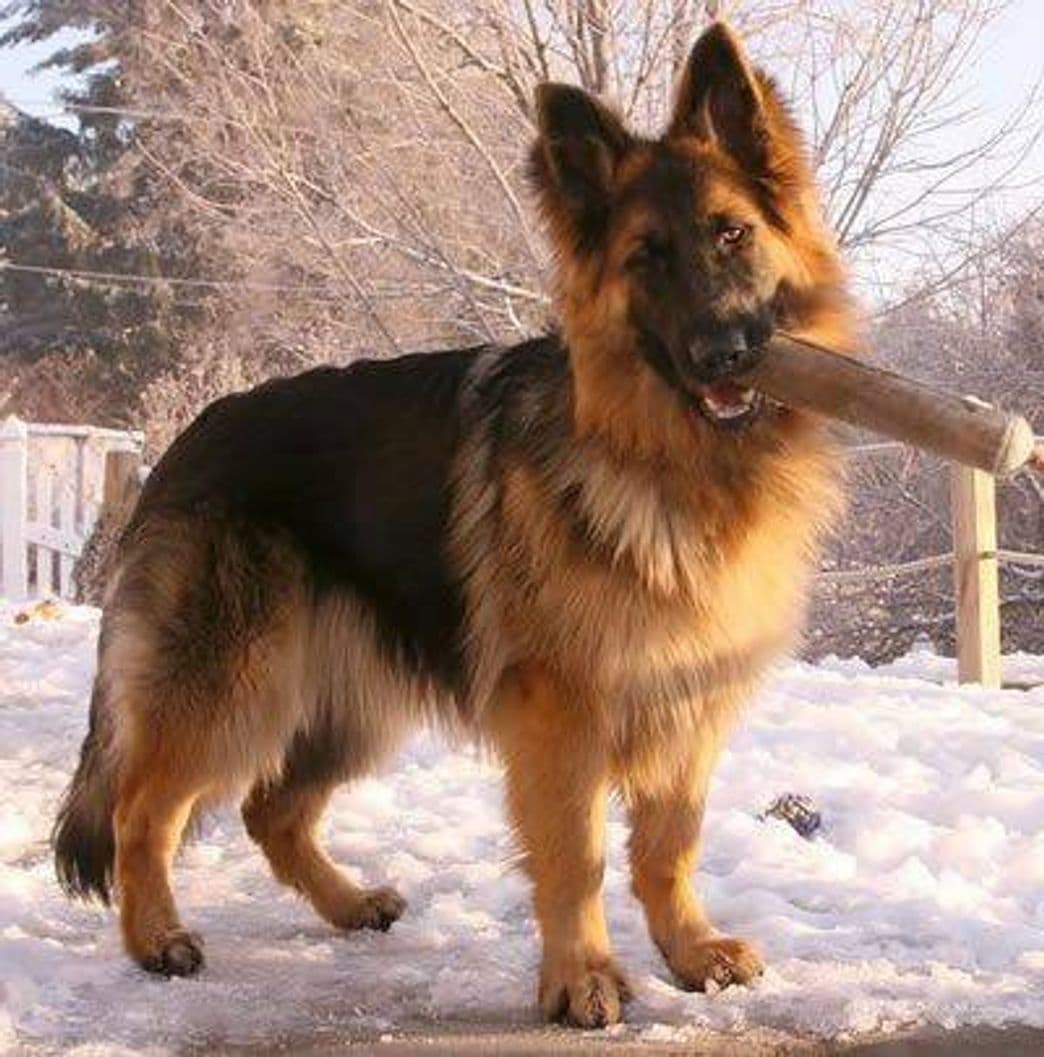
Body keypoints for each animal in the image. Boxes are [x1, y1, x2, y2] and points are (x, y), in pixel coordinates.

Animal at [53, 24, 858, 1027]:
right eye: (647, 257)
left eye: (731, 234)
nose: (722, 353)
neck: (666, 459)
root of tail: (188, 438)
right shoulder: (562, 711)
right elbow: (576, 854)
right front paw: (582, 977)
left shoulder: (685, 701)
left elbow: (668, 844)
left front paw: (687, 949)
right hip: (232, 686)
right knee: (143, 812)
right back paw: (154, 937)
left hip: (349, 700)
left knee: (270, 808)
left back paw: (347, 902)